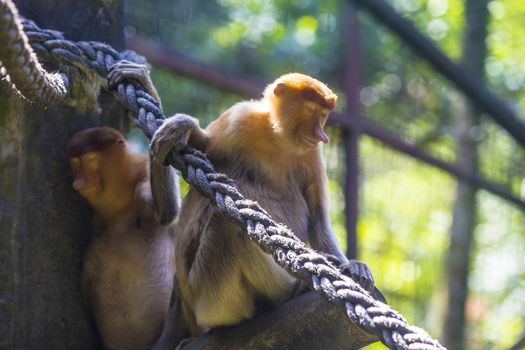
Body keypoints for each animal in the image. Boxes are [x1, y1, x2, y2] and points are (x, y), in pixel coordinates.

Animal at [149, 72, 374, 334]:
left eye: (325, 115)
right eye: (311, 110)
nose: (322, 136)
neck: (278, 139)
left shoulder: (312, 153)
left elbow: (318, 216)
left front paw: (354, 267)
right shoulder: (240, 119)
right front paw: (180, 126)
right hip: (207, 297)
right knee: (227, 225)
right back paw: (290, 291)